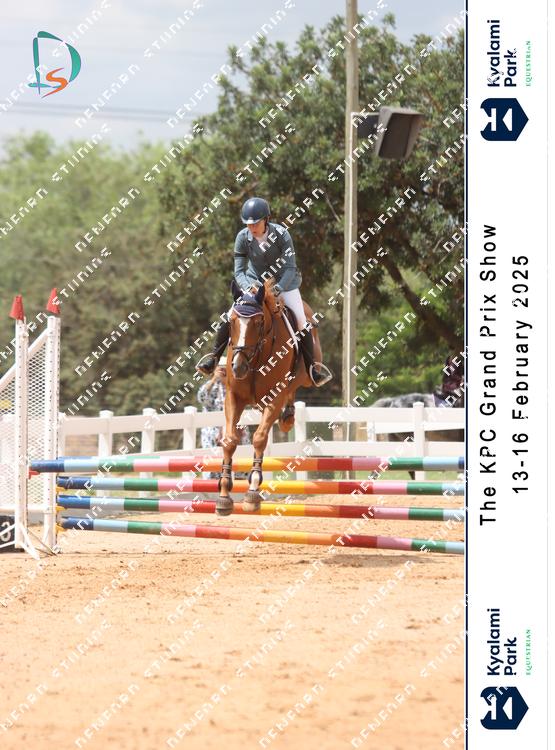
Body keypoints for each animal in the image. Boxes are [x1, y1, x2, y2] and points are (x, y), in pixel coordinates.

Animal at [216, 279, 323, 515]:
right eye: (232, 322)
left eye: (258, 322)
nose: (238, 368)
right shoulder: (233, 397)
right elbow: (229, 441)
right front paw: (224, 494)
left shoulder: (274, 399)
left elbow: (259, 438)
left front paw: (253, 491)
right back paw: (288, 418)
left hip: (307, 376)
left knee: (296, 385)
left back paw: (289, 418)